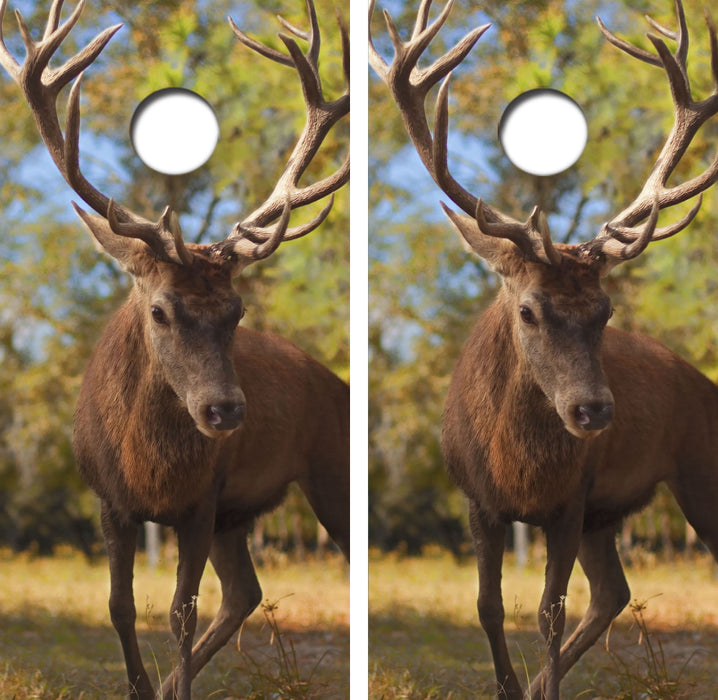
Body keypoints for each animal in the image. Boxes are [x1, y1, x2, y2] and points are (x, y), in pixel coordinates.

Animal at [0, 0, 349, 698]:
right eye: (160, 309)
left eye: (238, 311)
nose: (224, 411)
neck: (149, 469)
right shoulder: (110, 501)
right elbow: (119, 605)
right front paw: (142, 686)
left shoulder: (202, 500)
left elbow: (180, 612)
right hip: (241, 515)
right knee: (244, 592)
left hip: (327, 475)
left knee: (248, 590)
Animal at [370, 0, 718, 698]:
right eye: (528, 310)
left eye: (606, 311)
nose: (593, 411)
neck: (519, 470)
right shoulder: (479, 500)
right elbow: (488, 606)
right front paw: (512, 687)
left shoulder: (571, 500)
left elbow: (550, 612)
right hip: (610, 514)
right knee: (613, 592)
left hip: (697, 471)